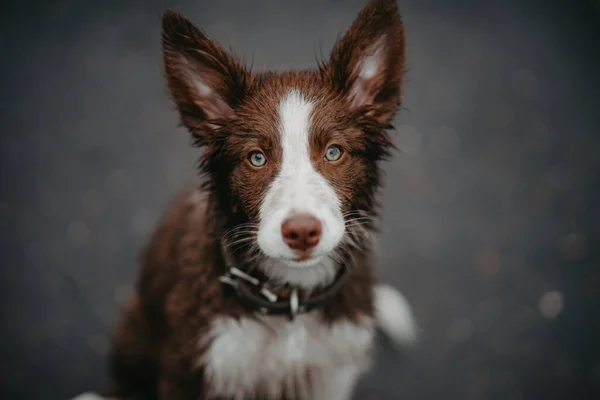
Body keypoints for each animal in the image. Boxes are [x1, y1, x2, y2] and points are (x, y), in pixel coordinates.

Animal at [74, 0, 418, 400]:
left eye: (334, 152)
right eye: (256, 158)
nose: (302, 233)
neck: (289, 303)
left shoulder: (331, 370)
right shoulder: (188, 364)